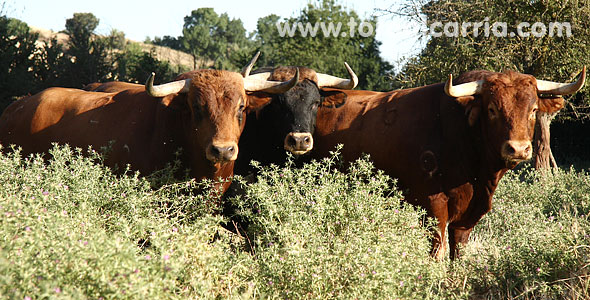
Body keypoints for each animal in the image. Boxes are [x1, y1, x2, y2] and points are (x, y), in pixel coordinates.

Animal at [314, 67, 588, 258]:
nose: (518, 148)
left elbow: (459, 254)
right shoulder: (432, 206)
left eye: (533, 110)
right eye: (492, 109)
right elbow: (437, 251)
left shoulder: (468, 216)